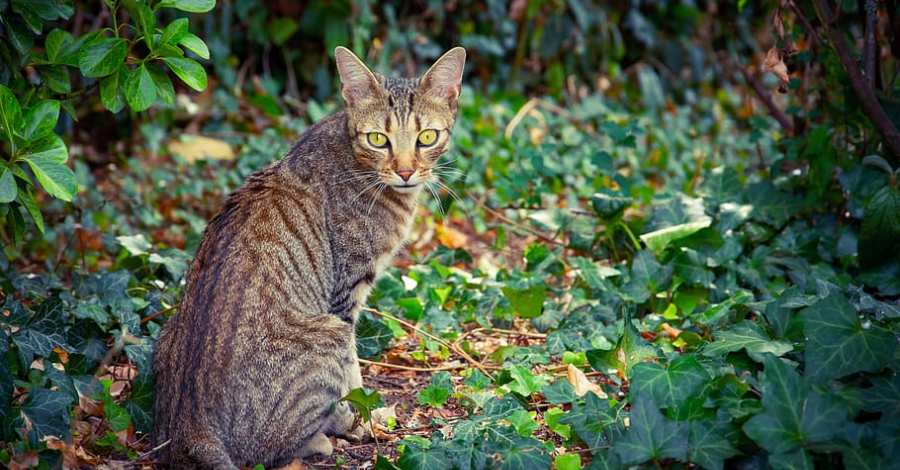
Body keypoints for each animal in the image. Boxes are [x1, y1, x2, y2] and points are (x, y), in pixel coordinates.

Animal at [151, 46, 468, 470]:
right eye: (378, 139)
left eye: (427, 136)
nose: (405, 171)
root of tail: (191, 427)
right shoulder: (346, 293)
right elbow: (352, 372)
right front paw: (360, 416)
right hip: (326, 332)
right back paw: (323, 436)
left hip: (166, 331)